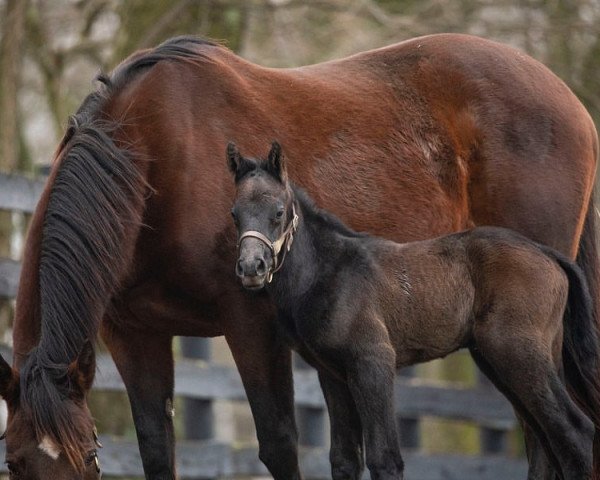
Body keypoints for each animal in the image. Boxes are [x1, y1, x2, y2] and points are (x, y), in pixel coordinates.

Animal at [229, 142, 600, 480]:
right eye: (234, 214)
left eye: (278, 211)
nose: (251, 268)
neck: (329, 271)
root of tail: (547, 254)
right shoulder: (332, 373)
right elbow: (344, 460)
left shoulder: (373, 362)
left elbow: (384, 457)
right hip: (506, 360)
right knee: (548, 440)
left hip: (516, 352)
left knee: (574, 432)